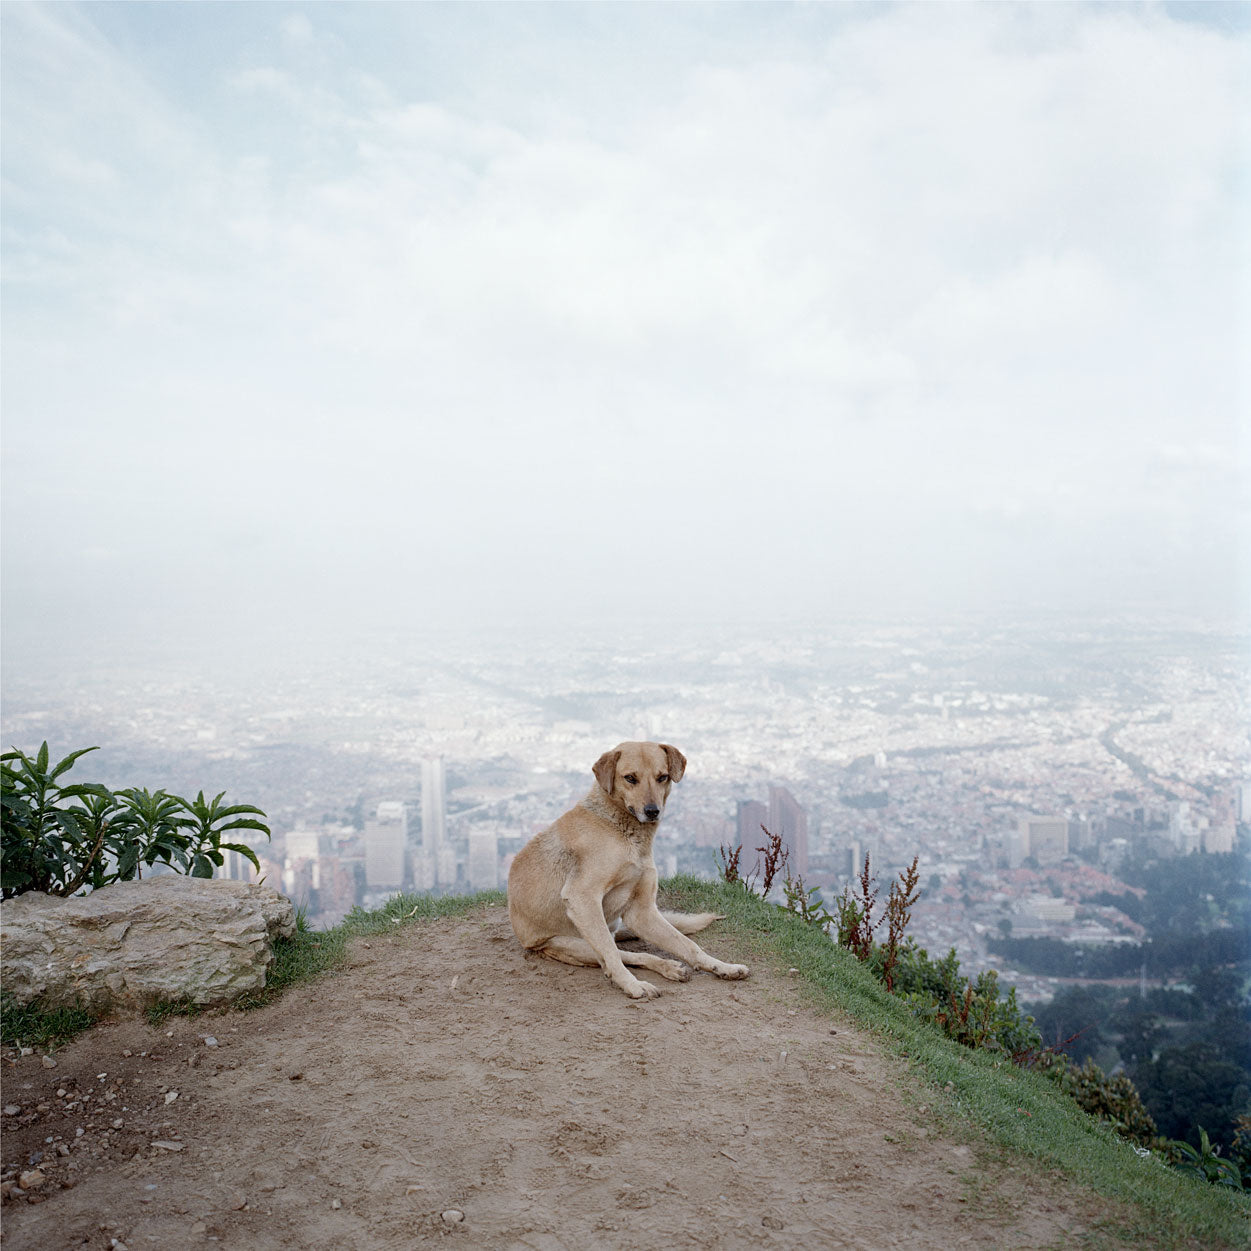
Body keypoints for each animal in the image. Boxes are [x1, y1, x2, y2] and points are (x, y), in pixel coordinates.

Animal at [502, 740, 745, 995]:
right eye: (630, 778)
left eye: (662, 777)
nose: (652, 811)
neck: (621, 828)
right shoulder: (582, 898)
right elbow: (612, 955)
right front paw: (631, 985)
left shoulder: (642, 912)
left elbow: (689, 945)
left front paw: (723, 967)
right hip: (578, 943)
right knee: (618, 955)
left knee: (633, 953)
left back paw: (671, 967)